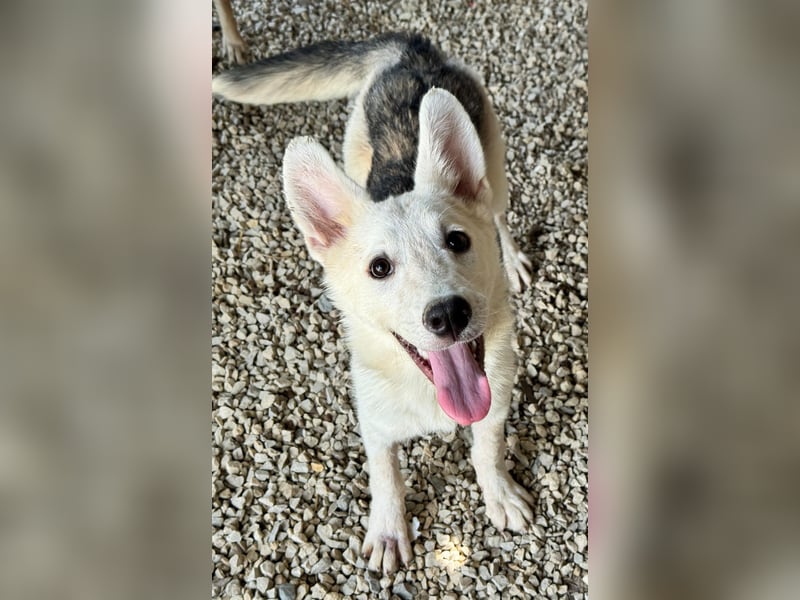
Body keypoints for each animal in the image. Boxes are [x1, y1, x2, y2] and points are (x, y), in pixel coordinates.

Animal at [213, 33, 534, 573]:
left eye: (457, 241)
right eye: (379, 268)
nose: (448, 315)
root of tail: (412, 51)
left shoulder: (496, 400)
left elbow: (487, 451)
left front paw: (499, 494)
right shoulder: (375, 422)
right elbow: (385, 476)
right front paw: (387, 531)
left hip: (495, 170)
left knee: (499, 215)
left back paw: (512, 258)